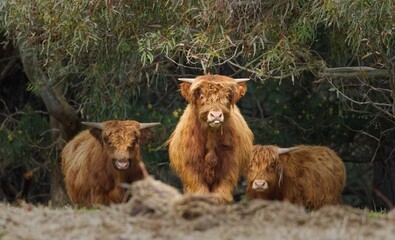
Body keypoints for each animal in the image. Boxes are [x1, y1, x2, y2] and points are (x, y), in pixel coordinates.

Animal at [167, 74, 254, 203]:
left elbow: (220, 195)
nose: (216, 116)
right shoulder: (192, 171)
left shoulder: (228, 170)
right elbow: (200, 192)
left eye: (227, 96)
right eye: (202, 96)